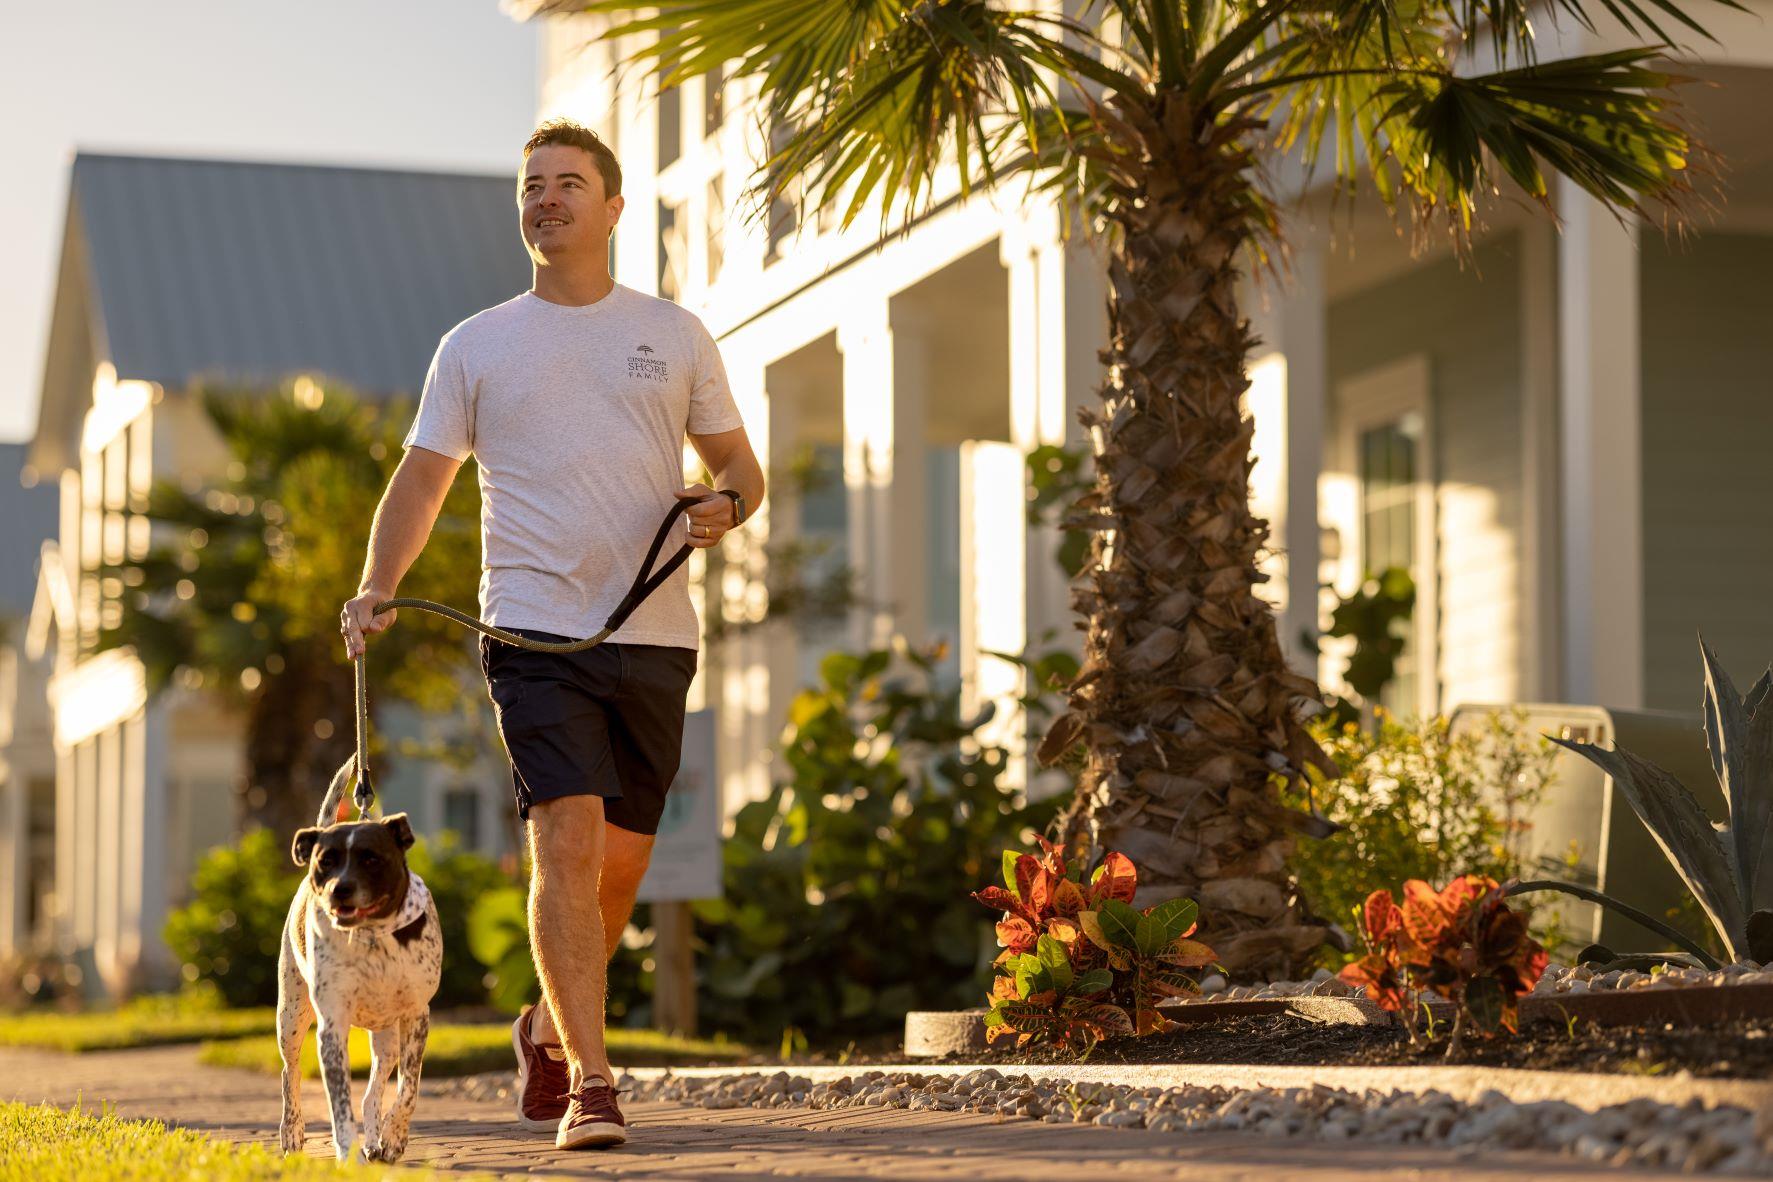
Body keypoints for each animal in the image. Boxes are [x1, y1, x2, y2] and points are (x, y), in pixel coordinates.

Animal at [280, 758, 443, 1162]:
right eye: (326, 862)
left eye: (371, 858)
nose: (340, 889)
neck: (372, 937)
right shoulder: (331, 1027)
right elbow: (339, 1106)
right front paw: (346, 1153)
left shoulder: (417, 1017)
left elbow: (408, 1090)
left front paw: (394, 1136)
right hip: (291, 1017)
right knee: (290, 1074)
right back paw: (293, 1132)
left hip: (387, 1040)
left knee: (372, 1094)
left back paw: (375, 1140)